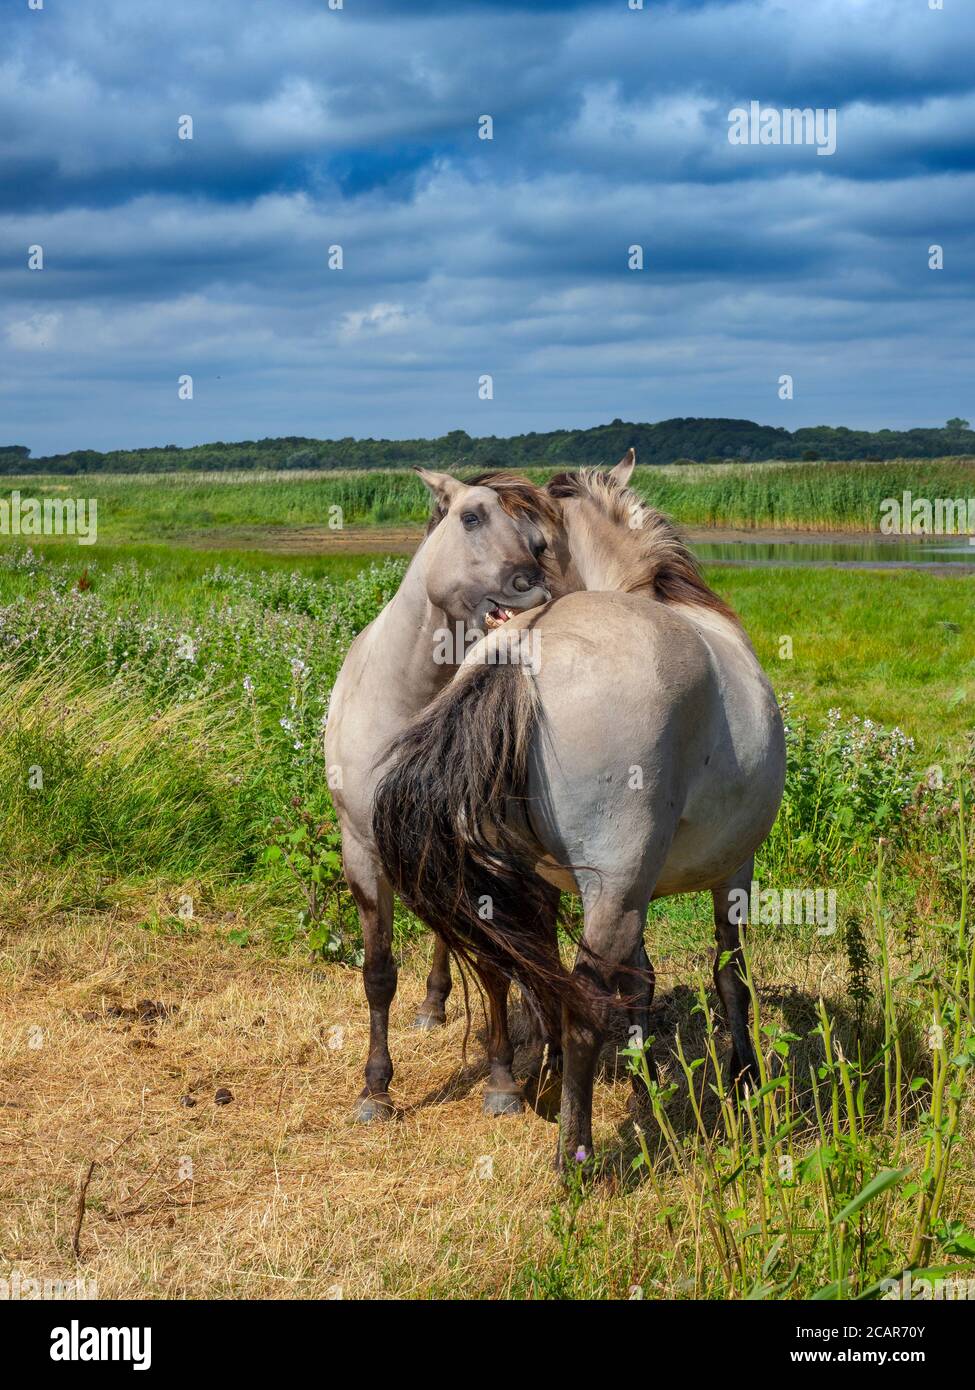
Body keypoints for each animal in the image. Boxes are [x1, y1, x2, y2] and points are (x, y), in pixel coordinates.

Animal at [324, 467, 562, 1121]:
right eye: (471, 517)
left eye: (540, 541)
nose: (532, 587)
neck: (408, 702)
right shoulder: (362, 853)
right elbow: (378, 972)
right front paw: (375, 1090)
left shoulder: (489, 856)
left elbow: (497, 964)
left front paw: (503, 1081)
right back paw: (432, 1007)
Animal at [373, 451, 786, 1165]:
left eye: (535, 545)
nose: (516, 595)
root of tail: (526, 650)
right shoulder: (731, 870)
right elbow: (730, 973)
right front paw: (744, 1077)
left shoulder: (627, 889)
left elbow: (640, 978)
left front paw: (644, 1072)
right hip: (617, 887)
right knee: (583, 1003)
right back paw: (576, 1156)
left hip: (531, 884)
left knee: (536, 978)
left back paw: (543, 1081)